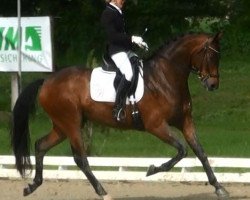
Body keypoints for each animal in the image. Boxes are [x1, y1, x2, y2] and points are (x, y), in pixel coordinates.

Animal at [10, 32, 229, 199]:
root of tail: (47, 80)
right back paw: (103, 192)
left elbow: (200, 152)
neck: (165, 77)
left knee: (41, 145)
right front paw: (152, 169)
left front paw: (219, 187)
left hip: (63, 126)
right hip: (70, 123)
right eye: (211, 56)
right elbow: (182, 151)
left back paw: (33, 186)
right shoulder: (156, 125)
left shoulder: (185, 122)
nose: (213, 85)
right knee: (81, 159)